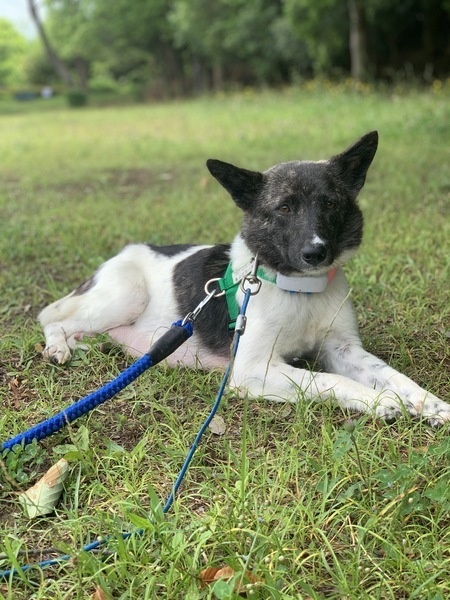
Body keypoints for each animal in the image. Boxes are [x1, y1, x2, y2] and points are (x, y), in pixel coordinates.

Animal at [39, 131, 450, 425]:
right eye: (283, 208)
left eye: (331, 204)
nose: (316, 253)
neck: (300, 289)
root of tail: (123, 253)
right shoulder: (253, 369)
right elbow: (328, 380)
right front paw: (379, 400)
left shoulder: (343, 349)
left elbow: (393, 374)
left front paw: (427, 402)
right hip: (126, 295)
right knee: (52, 317)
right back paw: (59, 346)